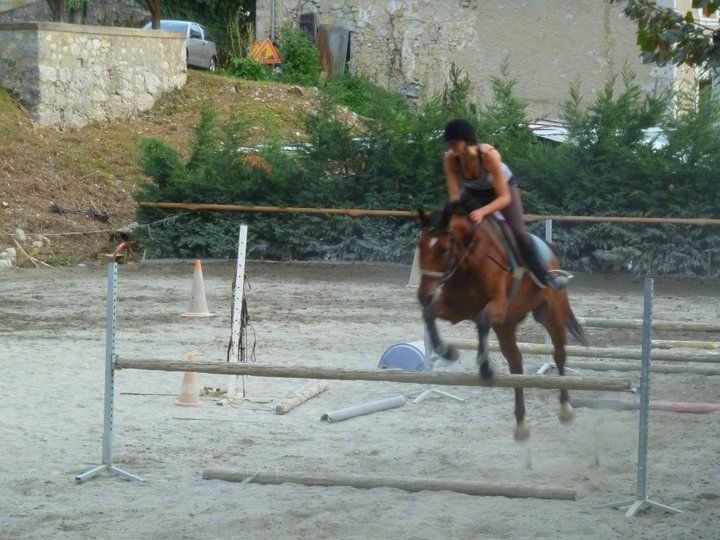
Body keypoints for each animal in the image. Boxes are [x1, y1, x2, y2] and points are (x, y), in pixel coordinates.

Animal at [416, 203, 588, 440]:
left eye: (443, 249)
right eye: (419, 245)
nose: (423, 295)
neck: (469, 261)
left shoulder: (496, 306)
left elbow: (482, 321)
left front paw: (485, 368)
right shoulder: (455, 309)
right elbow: (429, 314)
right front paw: (447, 352)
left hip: (551, 315)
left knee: (559, 354)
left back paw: (565, 407)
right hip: (505, 326)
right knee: (516, 363)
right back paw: (521, 422)